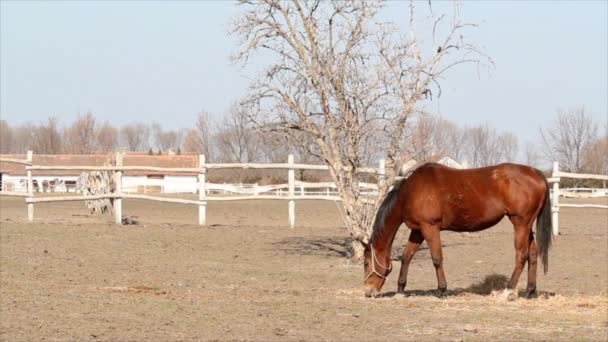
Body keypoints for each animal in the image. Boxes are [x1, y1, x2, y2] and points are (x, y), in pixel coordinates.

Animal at [364, 162, 552, 298]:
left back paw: (508, 290)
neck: (410, 192)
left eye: (366, 263)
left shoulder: (430, 228)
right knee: (532, 255)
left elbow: (437, 258)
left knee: (521, 256)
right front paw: (401, 289)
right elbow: (406, 257)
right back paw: (529, 291)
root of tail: (535, 173)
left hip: (520, 223)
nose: (368, 291)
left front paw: (441, 290)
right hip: (527, 226)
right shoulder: (417, 231)